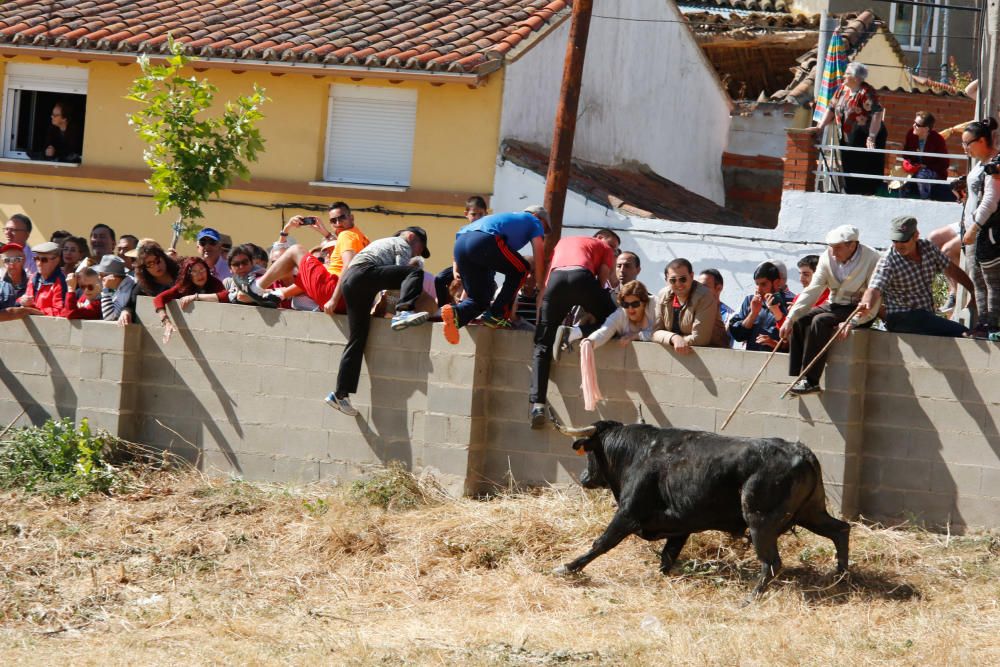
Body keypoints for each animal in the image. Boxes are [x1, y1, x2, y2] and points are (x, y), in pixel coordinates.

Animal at [560, 422, 848, 596]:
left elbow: (602, 542)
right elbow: (667, 557)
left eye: (590, 453)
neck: (637, 453)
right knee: (840, 530)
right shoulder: (679, 527)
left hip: (760, 521)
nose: (584, 477)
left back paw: (751, 597)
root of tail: (802, 452)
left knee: (772, 562)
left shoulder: (628, 513)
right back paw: (841, 577)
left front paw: (568, 567)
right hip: (812, 512)